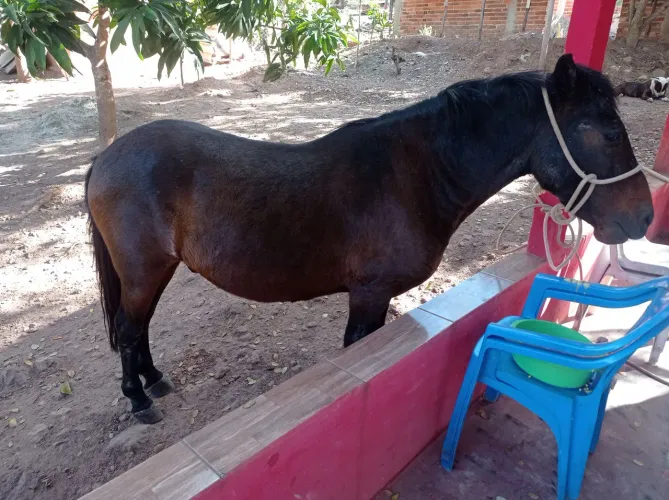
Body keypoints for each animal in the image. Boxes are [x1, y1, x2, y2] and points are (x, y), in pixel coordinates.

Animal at [85, 54, 654, 424]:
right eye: (608, 133)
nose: (645, 216)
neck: (415, 175)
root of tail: (107, 156)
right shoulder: (369, 294)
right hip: (144, 271)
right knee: (130, 329)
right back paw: (139, 400)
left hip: (154, 271)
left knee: (139, 328)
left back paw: (155, 380)